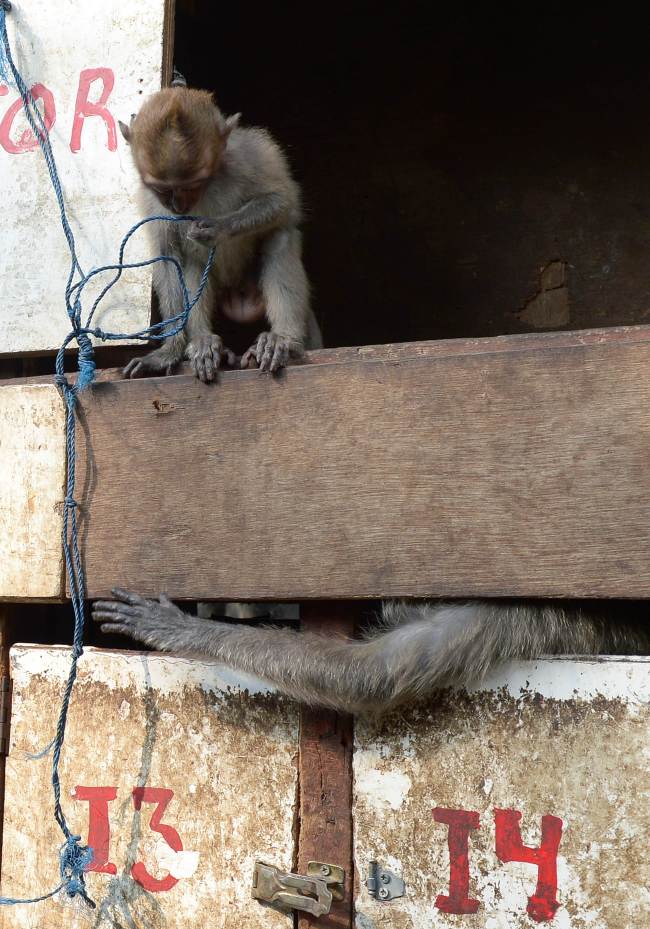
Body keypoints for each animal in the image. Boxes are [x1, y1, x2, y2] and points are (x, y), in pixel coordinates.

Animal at [119, 86, 321, 382]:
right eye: (163, 190)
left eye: (194, 185)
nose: (177, 206)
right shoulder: (151, 201)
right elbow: (168, 256)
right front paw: (169, 350)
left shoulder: (248, 155)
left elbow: (280, 202)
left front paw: (218, 229)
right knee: (192, 263)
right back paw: (204, 341)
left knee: (279, 238)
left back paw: (283, 340)